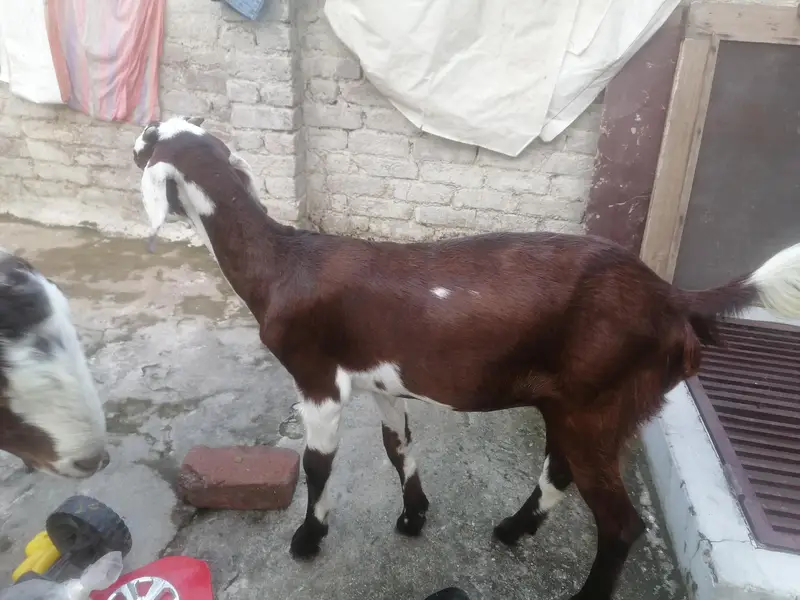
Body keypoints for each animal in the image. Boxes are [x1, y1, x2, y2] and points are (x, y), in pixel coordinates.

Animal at [132, 116, 800, 600]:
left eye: (145, 140)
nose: (131, 142)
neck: (281, 262)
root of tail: (673, 298)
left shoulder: (316, 377)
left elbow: (318, 465)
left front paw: (308, 538)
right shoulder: (381, 381)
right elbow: (398, 448)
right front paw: (414, 518)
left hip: (599, 400)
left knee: (619, 523)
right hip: (582, 402)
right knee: (560, 468)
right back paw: (511, 530)